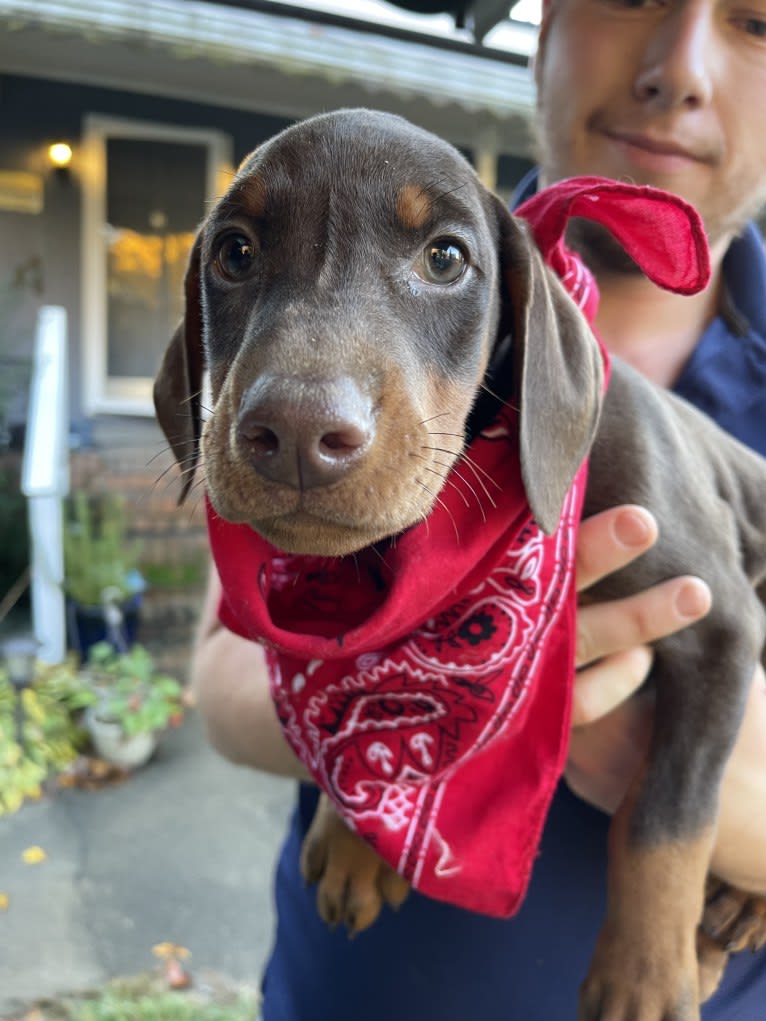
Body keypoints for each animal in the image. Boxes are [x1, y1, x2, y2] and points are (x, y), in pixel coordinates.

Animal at [156, 107, 766, 1016]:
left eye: (445, 258)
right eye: (234, 252)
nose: (296, 431)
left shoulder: (720, 617)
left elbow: (669, 813)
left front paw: (644, 975)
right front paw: (356, 833)